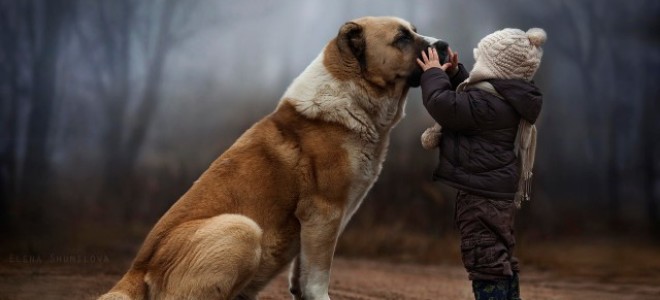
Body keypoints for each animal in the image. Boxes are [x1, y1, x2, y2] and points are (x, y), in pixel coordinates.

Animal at [99, 16, 448, 300]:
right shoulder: (324, 212)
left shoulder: (316, 223)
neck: (353, 97)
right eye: (401, 38)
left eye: (414, 31)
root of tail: (136, 270)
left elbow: (301, 271)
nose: (444, 45)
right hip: (242, 229)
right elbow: (318, 276)